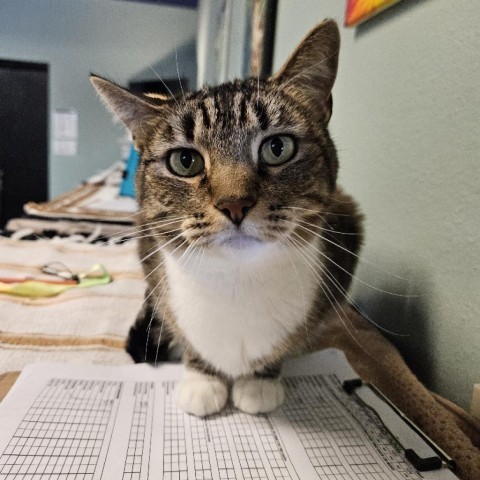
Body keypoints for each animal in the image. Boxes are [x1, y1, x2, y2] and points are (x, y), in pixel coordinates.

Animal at [90, 19, 362, 416]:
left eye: (277, 148)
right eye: (185, 161)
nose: (235, 204)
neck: (237, 280)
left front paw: (260, 381)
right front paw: (202, 379)